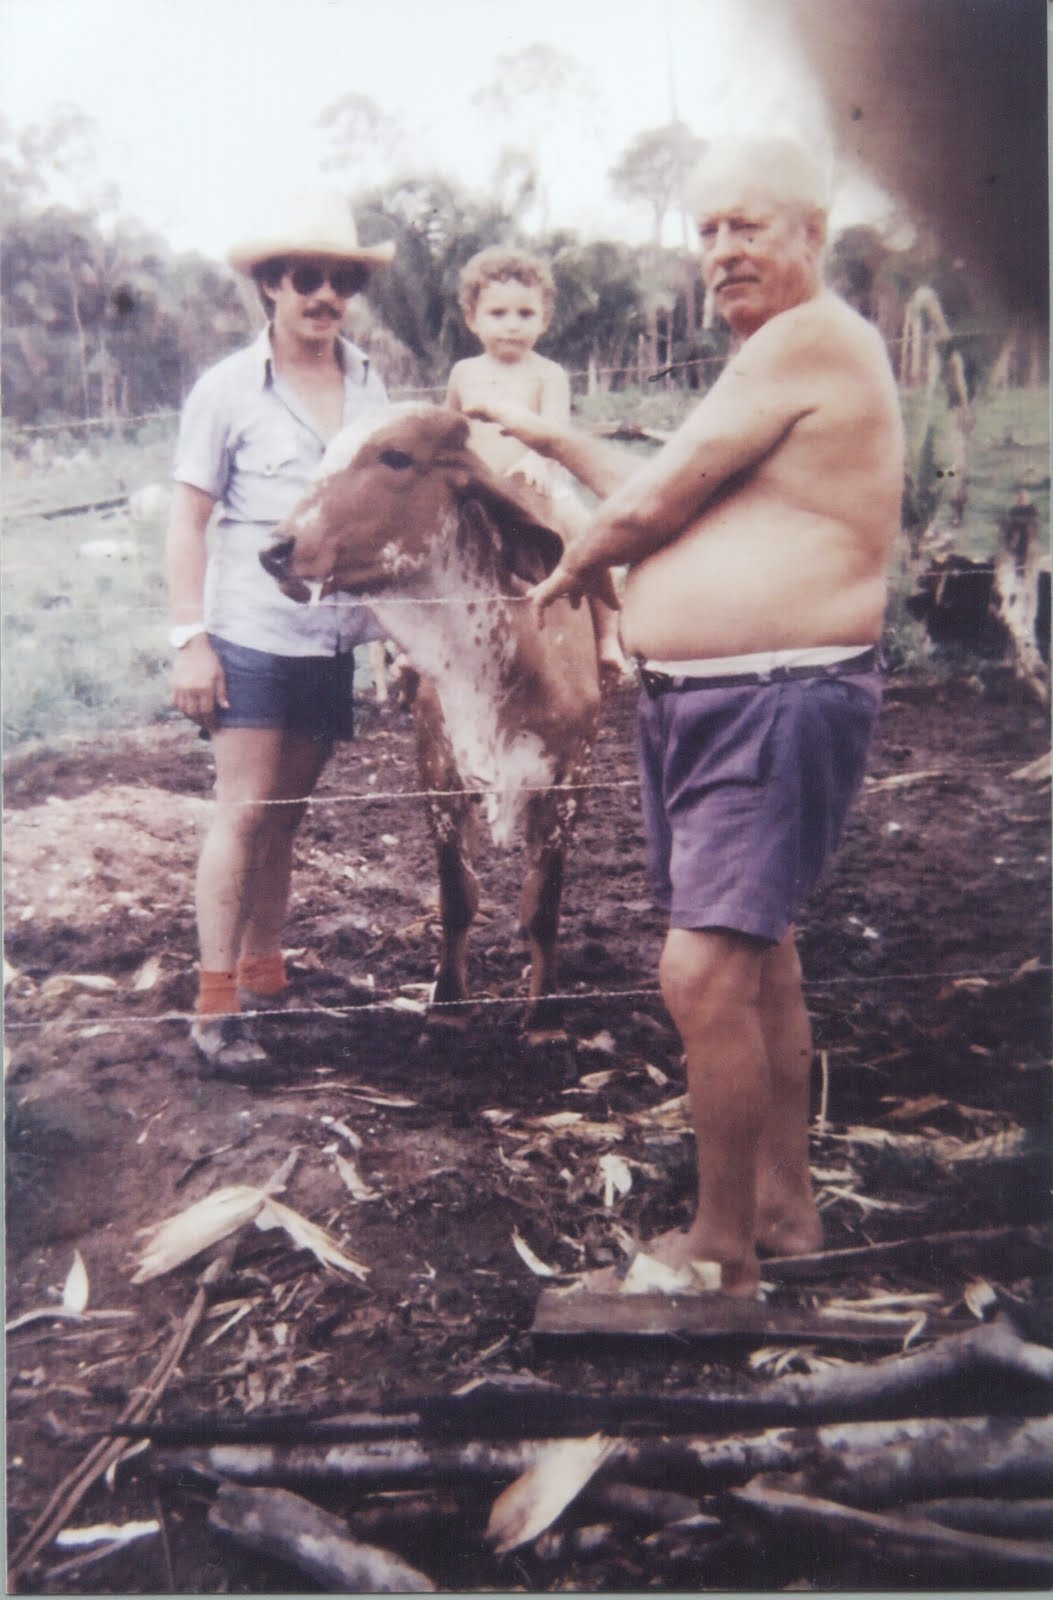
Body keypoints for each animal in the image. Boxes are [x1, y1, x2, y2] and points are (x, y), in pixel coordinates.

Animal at [260, 406, 598, 1030]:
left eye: (396, 456)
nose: (274, 549)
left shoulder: (571, 780)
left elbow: (543, 905)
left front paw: (543, 1020)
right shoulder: (438, 773)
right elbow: (458, 898)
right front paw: (447, 1005)